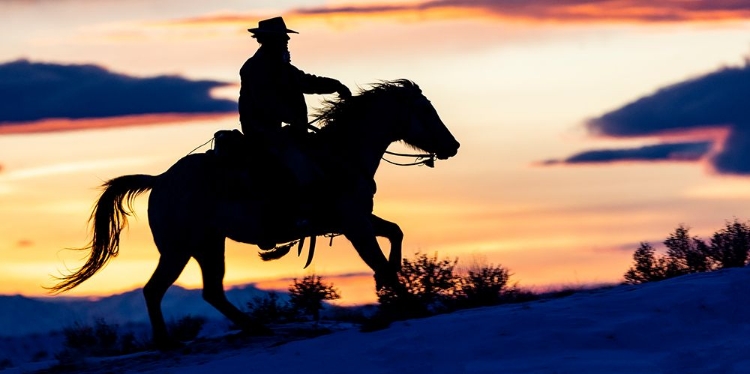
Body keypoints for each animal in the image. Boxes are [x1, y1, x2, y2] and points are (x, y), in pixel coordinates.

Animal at [50, 80, 462, 350]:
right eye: (426, 111)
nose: (453, 145)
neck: (340, 155)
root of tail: (161, 180)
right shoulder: (354, 224)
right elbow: (378, 257)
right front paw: (404, 303)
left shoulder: (355, 220)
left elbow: (395, 234)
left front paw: (390, 291)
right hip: (179, 249)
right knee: (156, 290)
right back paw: (168, 342)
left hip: (208, 246)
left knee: (212, 292)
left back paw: (255, 327)